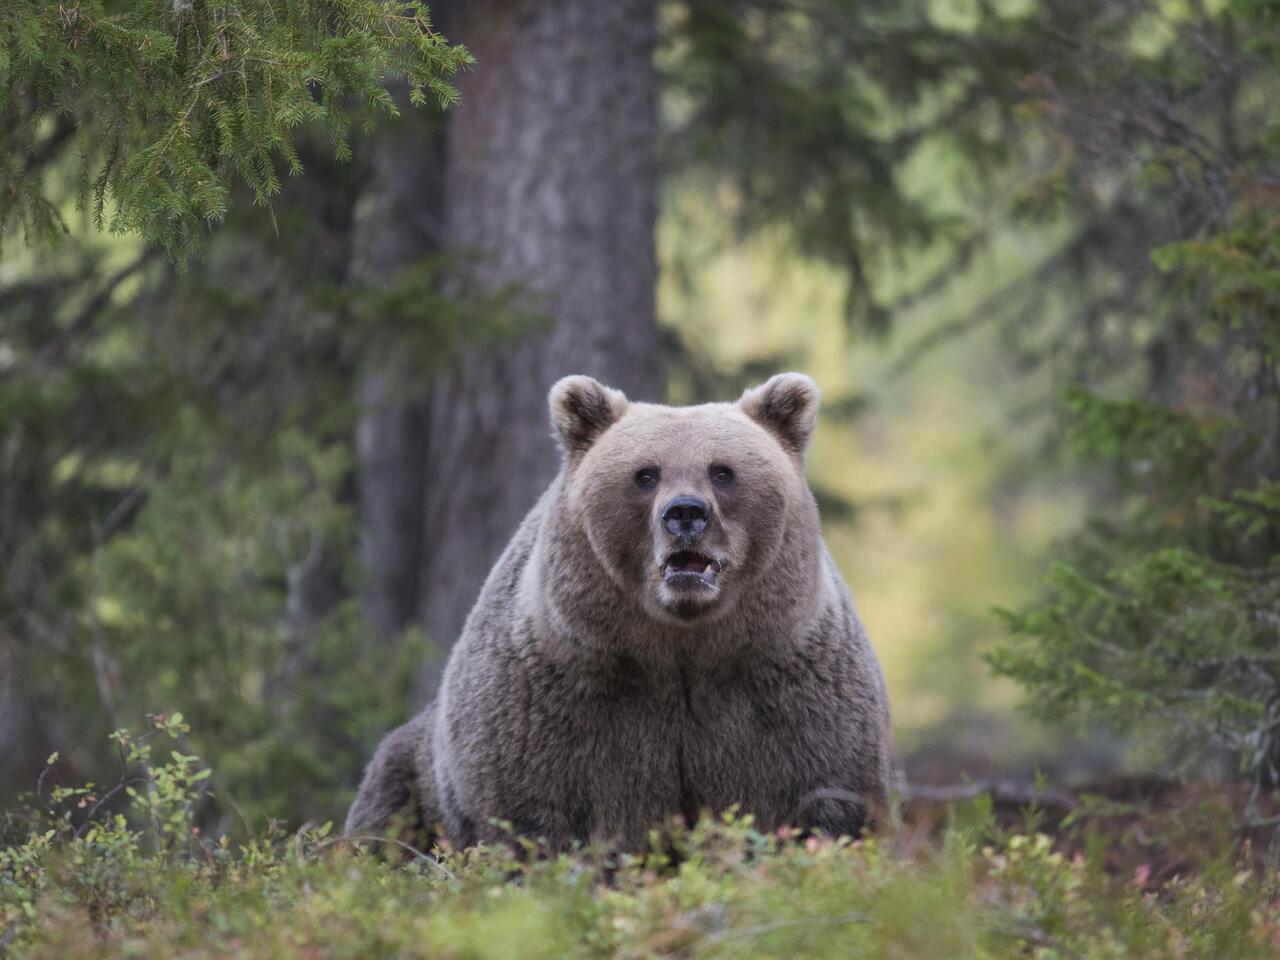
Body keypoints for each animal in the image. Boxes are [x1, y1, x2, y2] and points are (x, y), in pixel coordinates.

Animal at [345, 373, 896, 849]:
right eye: (645, 474)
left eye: (722, 470)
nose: (685, 513)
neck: (682, 651)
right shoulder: (557, 704)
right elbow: (529, 813)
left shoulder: (788, 692)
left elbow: (828, 800)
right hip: (409, 776)